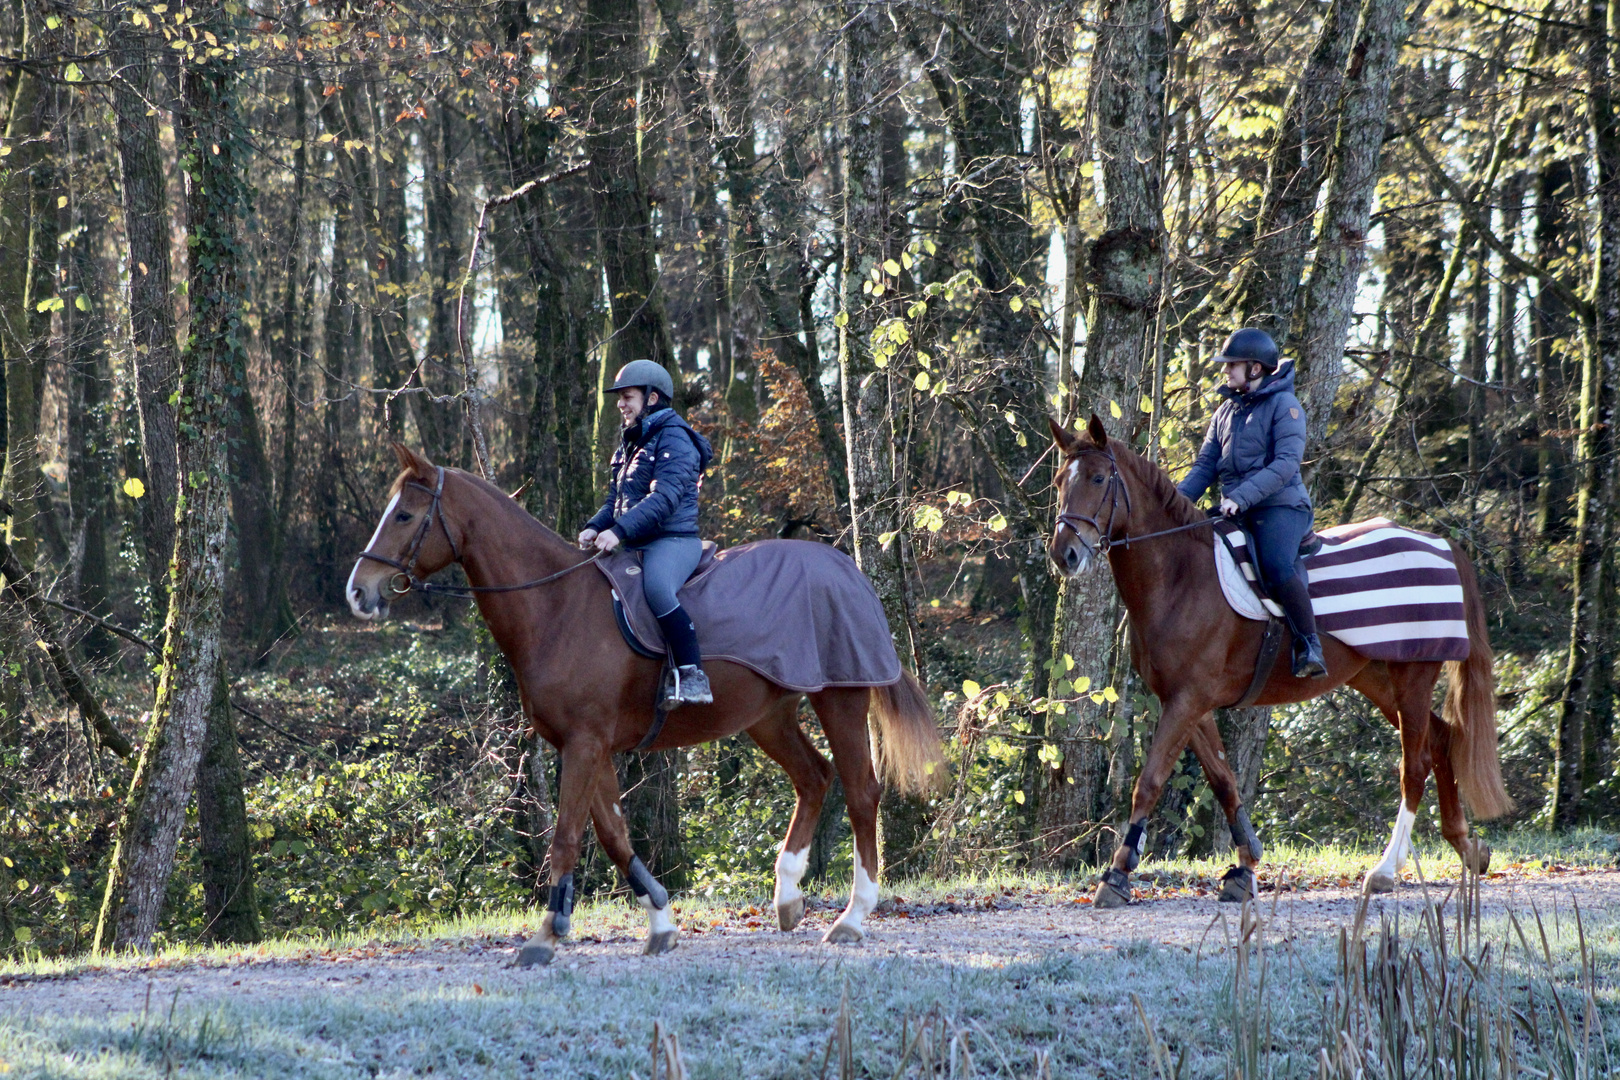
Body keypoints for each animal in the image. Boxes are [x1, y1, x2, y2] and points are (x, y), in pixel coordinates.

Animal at [348, 443, 946, 965]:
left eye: (404, 515)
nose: (358, 592)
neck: (556, 606)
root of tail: (849, 572)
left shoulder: (585, 744)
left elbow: (566, 839)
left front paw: (545, 937)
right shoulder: (586, 746)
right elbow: (614, 835)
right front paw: (660, 923)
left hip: (840, 700)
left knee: (861, 793)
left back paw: (851, 918)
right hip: (769, 716)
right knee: (814, 777)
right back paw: (788, 897)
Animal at [1043, 417, 1509, 906]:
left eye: (1099, 478)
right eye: (1059, 483)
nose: (1064, 554)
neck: (1181, 575)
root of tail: (1439, 545)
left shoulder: (1187, 700)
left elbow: (1149, 782)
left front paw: (1117, 874)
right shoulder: (1191, 704)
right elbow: (1224, 782)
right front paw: (1244, 868)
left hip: (1412, 677)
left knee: (1415, 765)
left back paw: (1385, 871)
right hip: (1378, 679)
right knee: (1441, 739)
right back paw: (1467, 847)